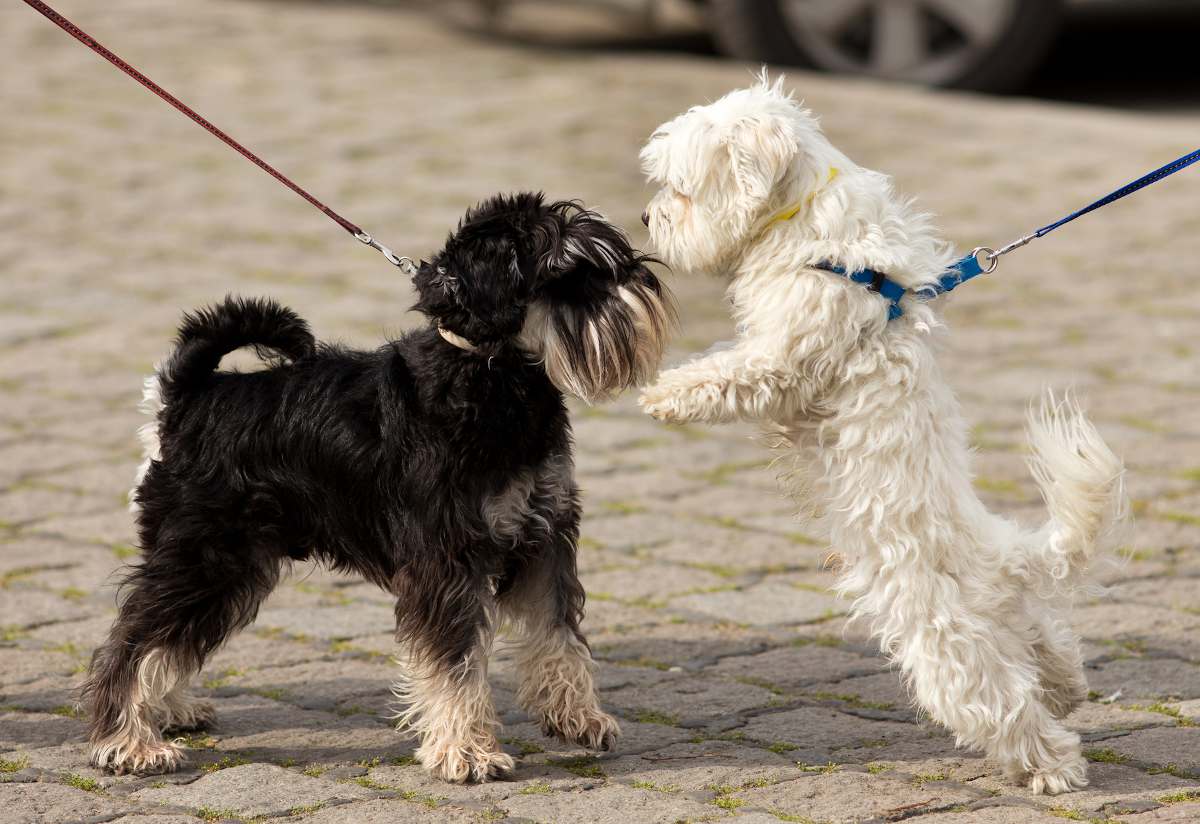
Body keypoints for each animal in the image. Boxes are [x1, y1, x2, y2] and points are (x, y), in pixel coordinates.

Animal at [87, 191, 676, 782]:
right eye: (569, 272)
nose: (643, 280)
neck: (490, 375)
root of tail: (187, 397)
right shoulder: (448, 560)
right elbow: (457, 660)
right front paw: (467, 752)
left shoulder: (544, 537)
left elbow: (558, 634)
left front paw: (577, 716)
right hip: (206, 556)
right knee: (133, 641)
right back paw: (129, 742)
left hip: (227, 567)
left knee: (167, 638)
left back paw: (169, 711)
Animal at [643, 77, 1128, 791]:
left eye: (680, 187)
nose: (647, 219)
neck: (806, 228)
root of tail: (994, 556)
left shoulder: (783, 358)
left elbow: (727, 373)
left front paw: (664, 394)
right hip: (1011, 621)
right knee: (1048, 643)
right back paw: (1066, 689)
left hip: (946, 645)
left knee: (1001, 705)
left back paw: (1054, 767)